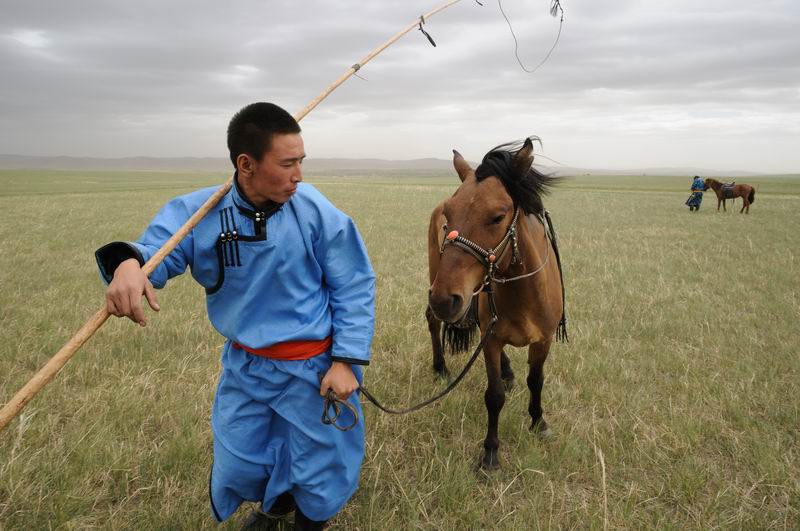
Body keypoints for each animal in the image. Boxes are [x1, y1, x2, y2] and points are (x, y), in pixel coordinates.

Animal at [424, 139, 568, 472]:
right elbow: (494, 396)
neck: (524, 291)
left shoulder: (543, 340)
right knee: (433, 321)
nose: (444, 299)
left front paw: (539, 423)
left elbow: (536, 381)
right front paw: (490, 454)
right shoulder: (490, 341)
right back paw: (440, 367)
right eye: (449, 216)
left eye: (498, 217)